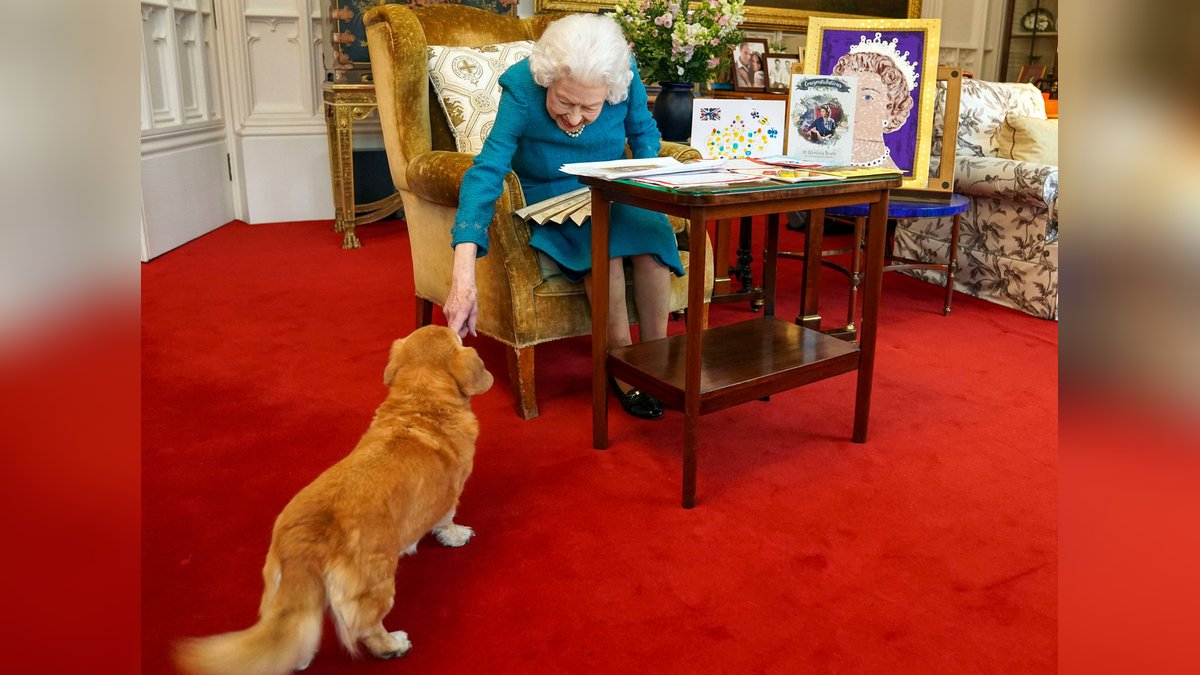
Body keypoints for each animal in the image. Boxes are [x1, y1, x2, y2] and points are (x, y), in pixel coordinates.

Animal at [175, 324, 492, 667]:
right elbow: (447, 520)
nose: (457, 325)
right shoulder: (451, 494)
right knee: (368, 629)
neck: (420, 405)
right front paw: (457, 535)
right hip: (377, 585)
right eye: (455, 336)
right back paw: (393, 645)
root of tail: (307, 542)